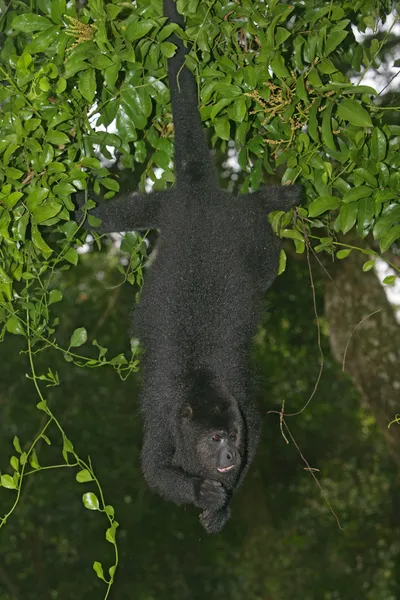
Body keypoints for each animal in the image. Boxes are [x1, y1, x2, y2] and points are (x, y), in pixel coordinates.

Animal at [86, 0, 300, 536]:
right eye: (213, 440)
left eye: (230, 436)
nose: (227, 456)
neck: (198, 379)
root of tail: (200, 197)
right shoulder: (164, 418)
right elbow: (153, 467)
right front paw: (203, 492)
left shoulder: (238, 401)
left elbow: (259, 433)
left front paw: (220, 504)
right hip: (169, 206)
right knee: (114, 217)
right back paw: (81, 210)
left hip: (235, 226)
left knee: (261, 257)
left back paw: (273, 198)